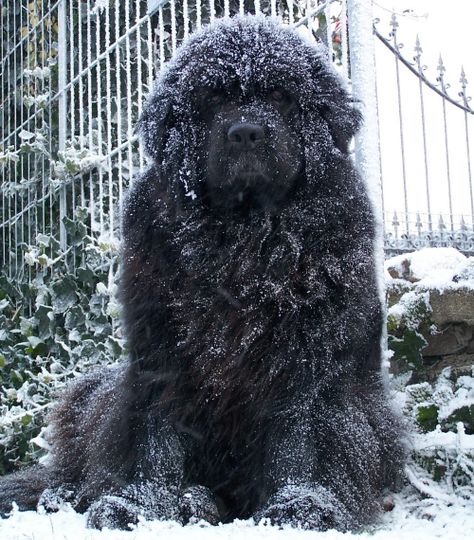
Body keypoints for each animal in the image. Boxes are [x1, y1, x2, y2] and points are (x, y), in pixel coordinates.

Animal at [0, 15, 404, 532]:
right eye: (212, 98)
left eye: (280, 96)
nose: (246, 132)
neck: (245, 235)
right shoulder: (160, 346)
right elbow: (156, 435)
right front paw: (142, 504)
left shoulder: (310, 352)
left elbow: (303, 434)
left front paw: (301, 505)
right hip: (98, 393)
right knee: (77, 466)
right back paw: (76, 495)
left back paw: (199, 502)